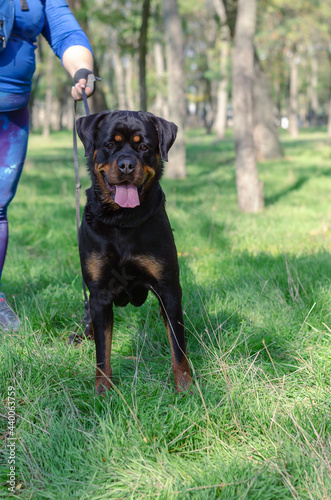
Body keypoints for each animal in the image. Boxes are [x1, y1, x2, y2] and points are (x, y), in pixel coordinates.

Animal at [76, 110, 192, 394]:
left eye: (144, 147)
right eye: (109, 144)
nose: (127, 165)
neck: (121, 221)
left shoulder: (168, 288)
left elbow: (178, 346)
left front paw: (185, 388)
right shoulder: (99, 293)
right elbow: (102, 352)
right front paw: (102, 392)